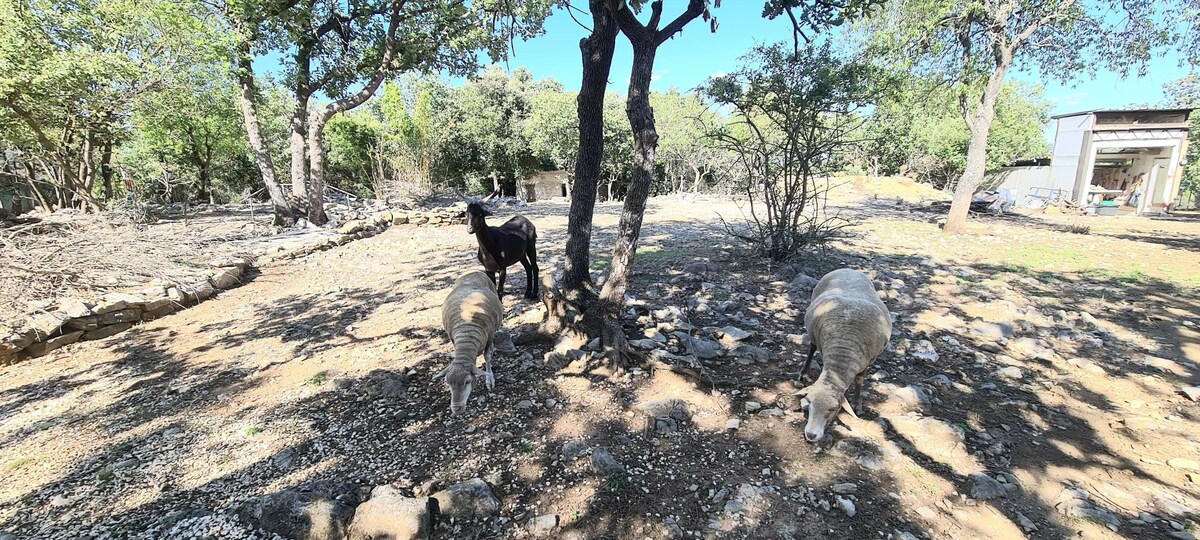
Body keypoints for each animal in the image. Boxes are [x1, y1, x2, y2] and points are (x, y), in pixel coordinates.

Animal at [436, 270, 501, 412]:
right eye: (448, 383)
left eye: (467, 382)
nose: (456, 408)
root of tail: (473, 270)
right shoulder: (452, 337)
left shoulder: (489, 335)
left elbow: (487, 356)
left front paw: (489, 379)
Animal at [796, 268, 892, 444]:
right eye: (809, 403)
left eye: (833, 409)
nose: (811, 435)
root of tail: (848, 269)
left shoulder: (869, 359)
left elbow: (860, 380)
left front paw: (857, 404)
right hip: (813, 333)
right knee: (812, 347)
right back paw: (804, 373)